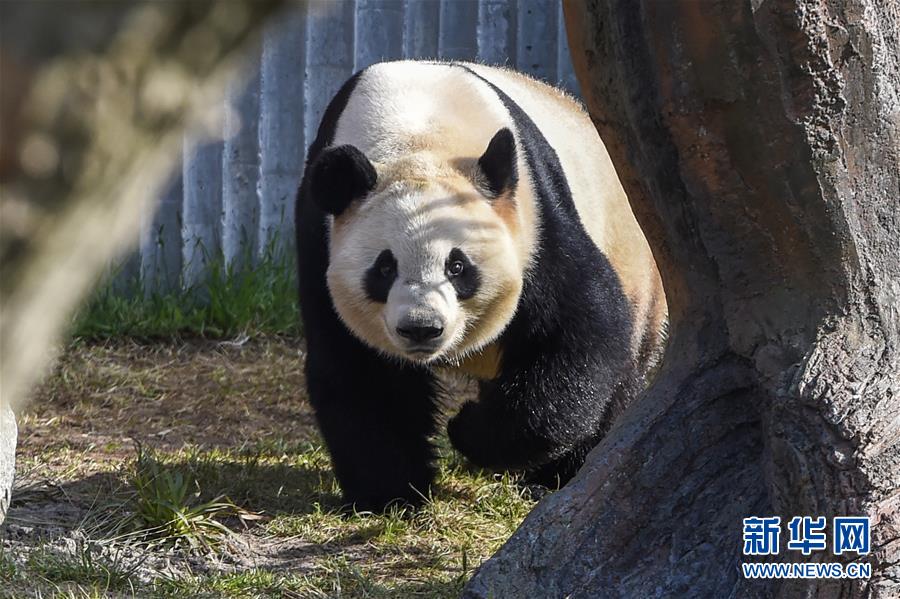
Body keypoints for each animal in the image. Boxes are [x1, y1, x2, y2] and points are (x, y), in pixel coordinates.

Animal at [298, 59, 668, 510]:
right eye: (384, 268)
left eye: (457, 266)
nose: (422, 328)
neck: (417, 134)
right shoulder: (320, 238)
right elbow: (361, 372)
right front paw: (390, 493)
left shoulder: (536, 222)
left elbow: (581, 331)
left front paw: (468, 428)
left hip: (635, 260)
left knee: (624, 370)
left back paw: (560, 474)